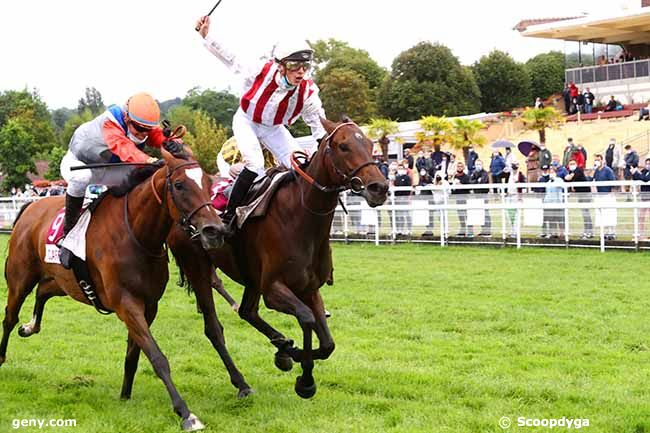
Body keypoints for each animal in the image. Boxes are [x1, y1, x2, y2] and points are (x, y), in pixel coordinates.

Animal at [0, 147, 233, 430]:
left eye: (209, 183)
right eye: (179, 185)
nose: (215, 230)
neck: (136, 234)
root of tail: (31, 207)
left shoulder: (148, 306)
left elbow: (134, 353)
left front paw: (125, 394)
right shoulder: (127, 305)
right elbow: (157, 357)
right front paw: (186, 413)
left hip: (64, 281)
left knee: (43, 291)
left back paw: (30, 326)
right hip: (20, 279)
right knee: (9, 317)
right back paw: (3, 355)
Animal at [167, 118, 388, 398]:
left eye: (370, 144)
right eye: (343, 146)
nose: (379, 187)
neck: (301, 216)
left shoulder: (308, 287)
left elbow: (327, 343)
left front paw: (290, 353)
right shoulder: (273, 289)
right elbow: (306, 318)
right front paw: (305, 378)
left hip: (251, 277)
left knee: (247, 312)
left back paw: (281, 345)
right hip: (197, 267)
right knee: (214, 327)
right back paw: (245, 379)